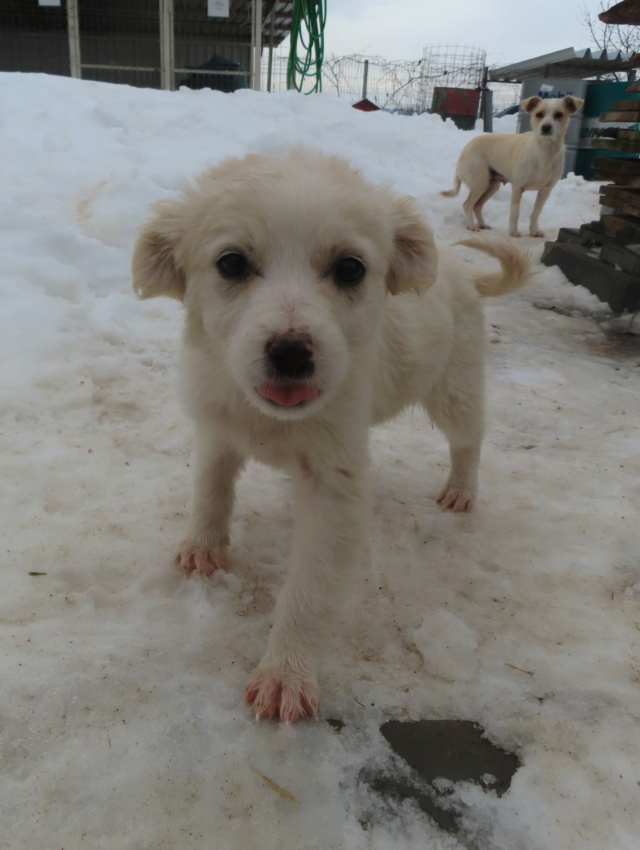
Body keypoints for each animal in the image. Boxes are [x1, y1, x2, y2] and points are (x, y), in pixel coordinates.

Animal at [132, 149, 532, 720]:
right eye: (231, 263)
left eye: (350, 269)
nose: (291, 352)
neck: (270, 420)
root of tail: (464, 278)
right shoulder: (216, 429)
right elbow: (209, 490)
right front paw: (202, 547)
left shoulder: (334, 487)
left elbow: (308, 589)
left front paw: (285, 674)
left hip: (453, 390)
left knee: (469, 438)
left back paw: (460, 489)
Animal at [440, 97, 584, 240]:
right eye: (539, 114)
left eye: (559, 114)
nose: (546, 127)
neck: (544, 151)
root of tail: (465, 150)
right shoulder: (517, 188)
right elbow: (515, 213)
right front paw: (513, 232)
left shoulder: (545, 191)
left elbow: (536, 213)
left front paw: (534, 231)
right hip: (480, 184)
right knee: (467, 205)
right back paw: (471, 225)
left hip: (491, 186)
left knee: (477, 206)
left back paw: (482, 224)